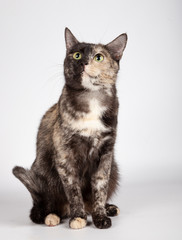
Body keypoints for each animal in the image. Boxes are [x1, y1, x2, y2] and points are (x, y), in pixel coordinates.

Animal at [12, 27, 127, 229]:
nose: (83, 62)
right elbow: (73, 189)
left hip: (114, 168)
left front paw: (100, 216)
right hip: (43, 170)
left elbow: (100, 187)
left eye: (98, 57)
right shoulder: (65, 156)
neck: (91, 98)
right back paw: (52, 216)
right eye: (76, 54)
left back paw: (108, 208)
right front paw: (78, 217)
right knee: (41, 209)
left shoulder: (106, 154)